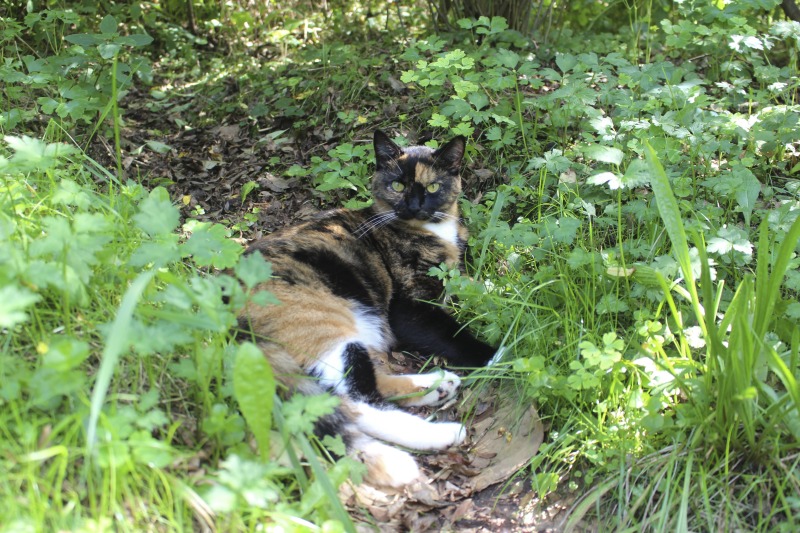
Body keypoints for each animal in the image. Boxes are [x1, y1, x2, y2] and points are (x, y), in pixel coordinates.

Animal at [238, 129, 496, 486]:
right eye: (397, 185)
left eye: (432, 187)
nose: (414, 206)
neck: (433, 232)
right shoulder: (409, 309)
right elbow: (452, 332)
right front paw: (499, 355)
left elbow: (469, 284)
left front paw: (500, 288)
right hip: (326, 329)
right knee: (355, 404)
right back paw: (432, 438)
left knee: (371, 386)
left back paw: (438, 386)